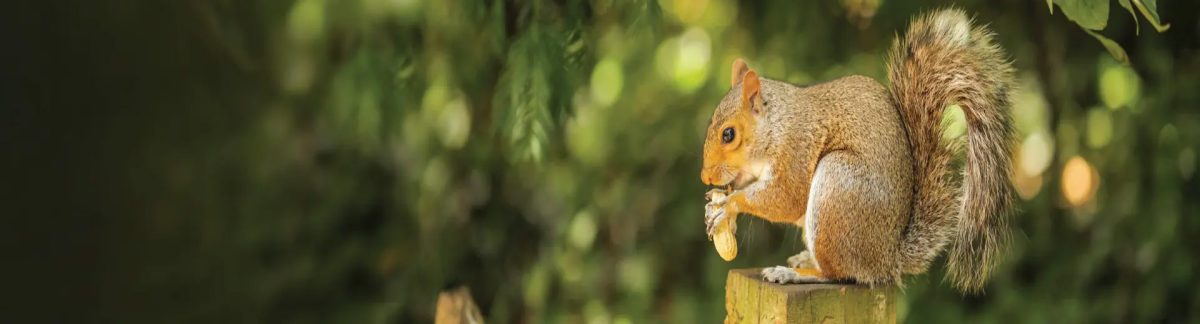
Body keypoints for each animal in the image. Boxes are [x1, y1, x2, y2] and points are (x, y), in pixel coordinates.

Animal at [700, 8, 1017, 294]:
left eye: (728, 134)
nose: (706, 177)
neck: (776, 125)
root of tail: (887, 260)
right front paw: (717, 207)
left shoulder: (795, 149)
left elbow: (785, 198)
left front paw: (729, 205)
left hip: (838, 184)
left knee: (840, 274)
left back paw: (795, 273)